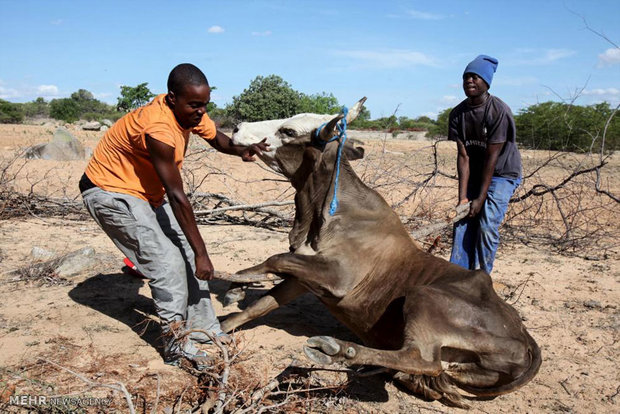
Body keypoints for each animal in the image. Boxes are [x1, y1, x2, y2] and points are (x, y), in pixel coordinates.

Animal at [222, 98, 536, 410]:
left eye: (288, 131)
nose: (237, 127)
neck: (323, 213)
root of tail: (523, 335)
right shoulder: (304, 278)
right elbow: (262, 303)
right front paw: (224, 321)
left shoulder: (338, 278)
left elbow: (275, 259)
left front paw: (238, 281)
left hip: (422, 296)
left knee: (423, 359)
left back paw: (338, 350)